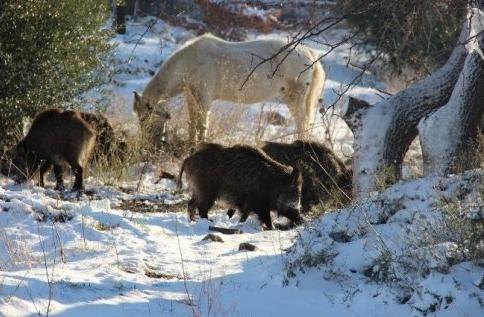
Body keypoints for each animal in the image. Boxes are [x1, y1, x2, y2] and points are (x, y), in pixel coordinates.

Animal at [133, 34, 326, 145]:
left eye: (144, 118)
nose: (146, 143)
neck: (191, 62)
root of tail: (310, 52)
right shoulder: (191, 97)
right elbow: (192, 124)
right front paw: (190, 145)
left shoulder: (204, 99)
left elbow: (202, 125)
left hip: (294, 98)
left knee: (302, 124)